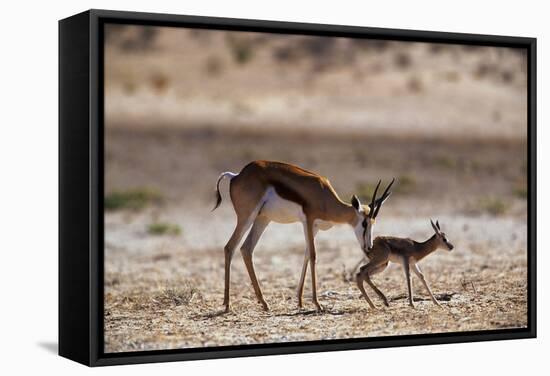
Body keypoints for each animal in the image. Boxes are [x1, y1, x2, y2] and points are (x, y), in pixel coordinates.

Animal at [213, 160, 394, 312]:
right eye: (364, 223)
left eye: (373, 223)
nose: (369, 247)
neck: (324, 196)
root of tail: (236, 175)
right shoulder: (308, 220)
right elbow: (313, 255)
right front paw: (317, 304)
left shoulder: (315, 228)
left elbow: (306, 255)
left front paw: (300, 301)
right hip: (247, 216)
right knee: (230, 247)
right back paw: (227, 304)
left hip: (262, 219)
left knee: (246, 249)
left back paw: (264, 303)